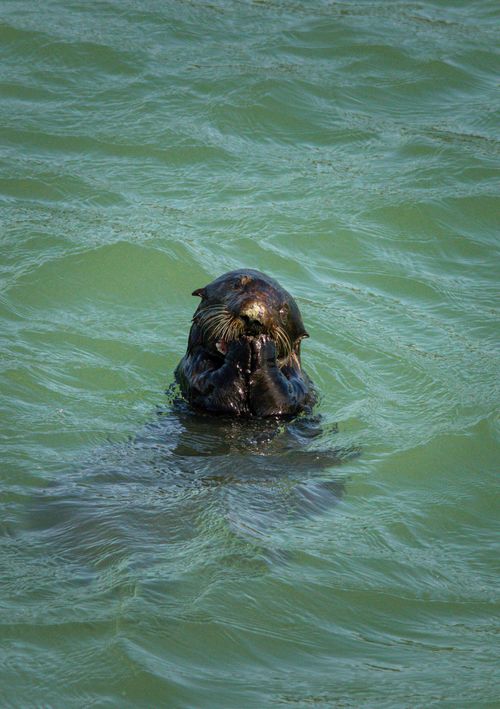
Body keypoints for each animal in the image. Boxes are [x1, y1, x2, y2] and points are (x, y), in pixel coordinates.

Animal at [175, 269, 315, 417]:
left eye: (283, 311)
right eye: (236, 285)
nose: (254, 316)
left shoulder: (302, 389)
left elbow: (284, 399)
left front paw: (262, 343)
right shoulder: (192, 370)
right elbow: (214, 388)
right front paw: (243, 344)